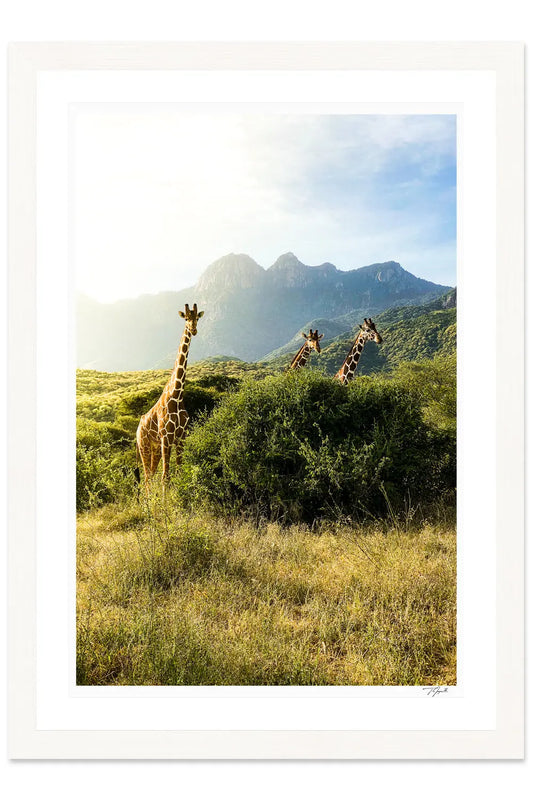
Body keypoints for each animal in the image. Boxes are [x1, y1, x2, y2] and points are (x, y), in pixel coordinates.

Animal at [136, 303, 204, 487]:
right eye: (186, 318)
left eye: (197, 318)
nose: (194, 329)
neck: (177, 395)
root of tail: (137, 429)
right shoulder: (166, 438)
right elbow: (165, 476)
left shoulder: (181, 437)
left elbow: (179, 473)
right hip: (144, 446)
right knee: (147, 477)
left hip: (155, 448)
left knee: (150, 475)